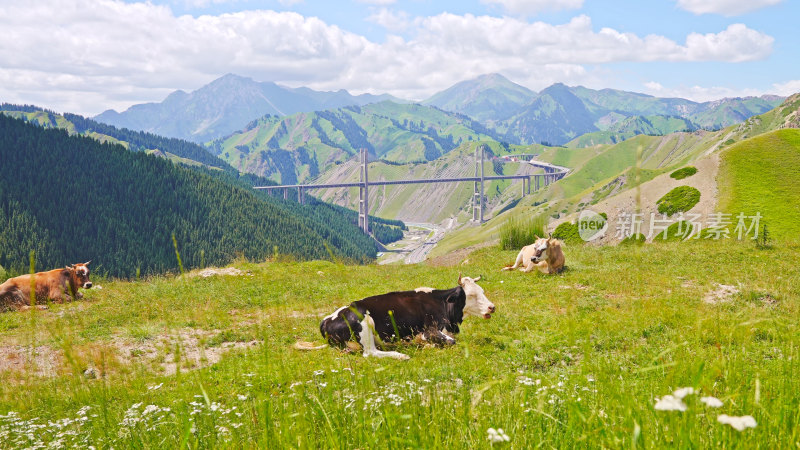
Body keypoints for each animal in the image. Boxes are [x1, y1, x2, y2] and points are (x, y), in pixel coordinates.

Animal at [318, 274, 494, 358]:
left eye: (482, 291)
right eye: (471, 295)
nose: (492, 307)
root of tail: (326, 320)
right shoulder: (429, 331)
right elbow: (451, 342)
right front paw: (427, 345)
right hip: (364, 321)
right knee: (370, 352)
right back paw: (401, 355)